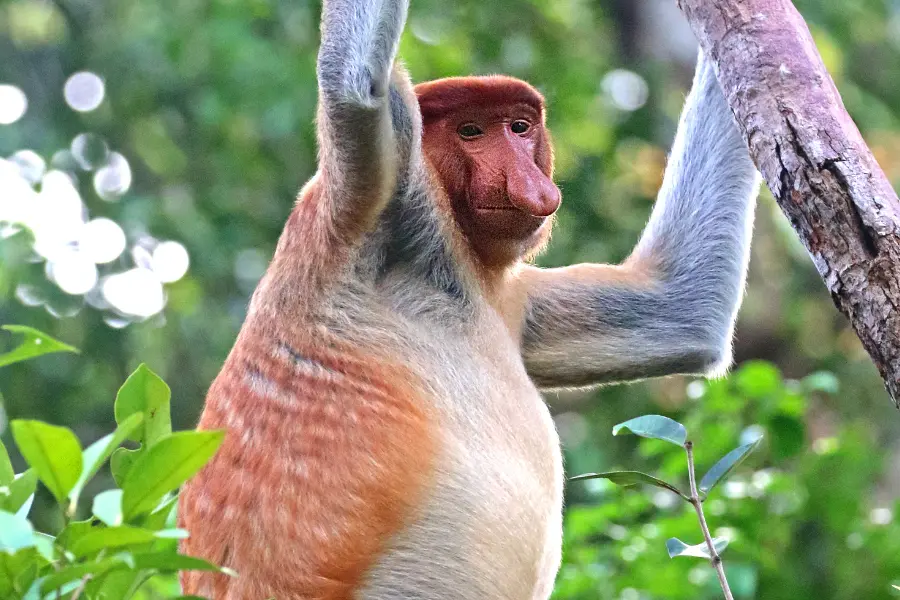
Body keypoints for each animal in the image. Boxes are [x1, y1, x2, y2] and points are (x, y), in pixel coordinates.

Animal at [178, 0, 760, 597]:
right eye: (472, 131)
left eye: (520, 128)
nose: (530, 184)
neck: (451, 250)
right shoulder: (371, 201)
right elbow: (354, 88)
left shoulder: (516, 299)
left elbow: (684, 308)